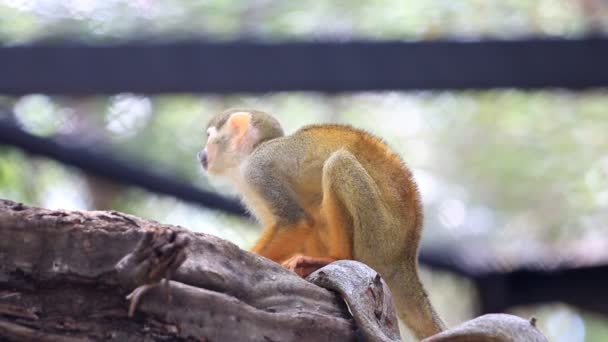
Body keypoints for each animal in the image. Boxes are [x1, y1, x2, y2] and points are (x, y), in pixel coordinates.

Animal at [197, 108, 444, 338]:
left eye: (209, 136)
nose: (201, 154)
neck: (251, 153)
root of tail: (405, 256)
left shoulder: (257, 170)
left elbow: (295, 222)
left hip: (382, 234)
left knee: (338, 163)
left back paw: (334, 257)